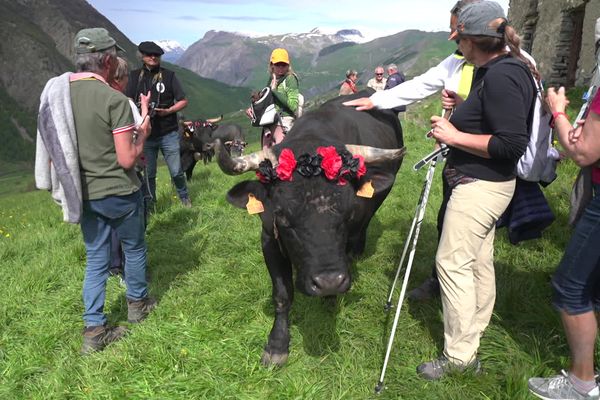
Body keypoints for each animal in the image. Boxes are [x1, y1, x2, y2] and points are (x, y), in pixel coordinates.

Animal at [216, 92, 404, 368]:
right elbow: (282, 294)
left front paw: (330, 299)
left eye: (348, 213)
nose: (328, 282)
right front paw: (277, 344)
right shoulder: (269, 239)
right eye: (282, 217)